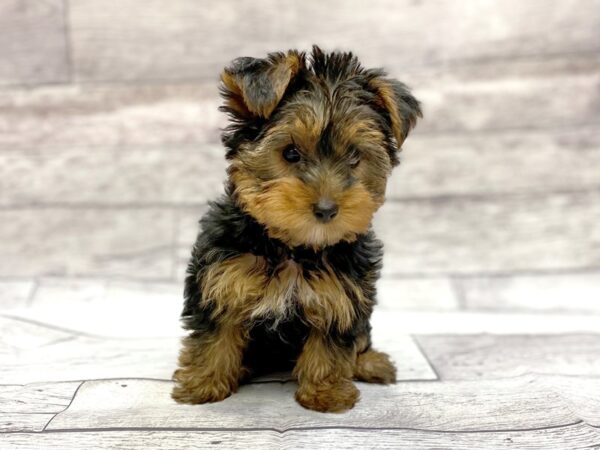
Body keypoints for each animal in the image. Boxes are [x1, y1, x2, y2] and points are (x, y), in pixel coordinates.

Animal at [171, 44, 420, 412]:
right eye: (290, 153)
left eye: (354, 157)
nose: (327, 209)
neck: (293, 247)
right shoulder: (221, 279)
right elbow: (215, 334)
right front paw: (202, 384)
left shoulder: (342, 293)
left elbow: (331, 344)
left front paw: (326, 393)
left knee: (361, 337)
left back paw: (370, 363)